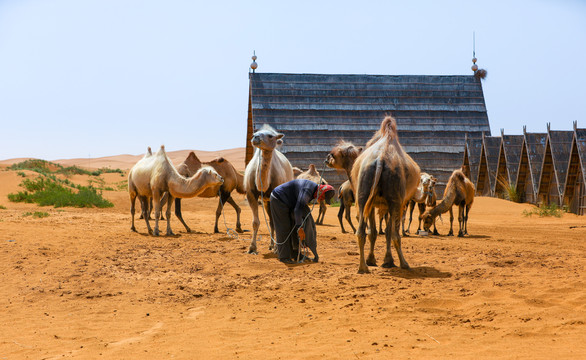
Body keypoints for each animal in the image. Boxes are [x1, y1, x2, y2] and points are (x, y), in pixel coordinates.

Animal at [242, 125, 292, 255]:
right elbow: (255, 222)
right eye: (254, 133)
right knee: (270, 221)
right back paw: (271, 245)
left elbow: (278, 222)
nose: (255, 137)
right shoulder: (251, 194)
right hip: (266, 201)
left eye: (270, 136)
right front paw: (252, 248)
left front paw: (277, 249)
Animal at [350, 116, 418, 274]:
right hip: (396, 199)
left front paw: (372, 260)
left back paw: (363, 267)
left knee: (361, 231)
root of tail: (381, 158)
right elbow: (387, 231)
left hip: (363, 192)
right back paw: (404, 263)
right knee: (395, 234)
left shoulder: (372, 203)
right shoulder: (395, 203)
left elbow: (374, 232)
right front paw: (388, 261)